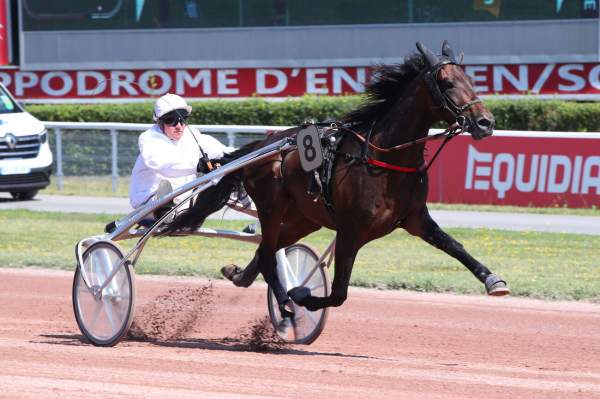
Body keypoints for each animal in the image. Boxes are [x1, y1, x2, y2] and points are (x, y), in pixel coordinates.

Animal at [166, 41, 508, 318]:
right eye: (447, 83)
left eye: (471, 81)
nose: (485, 122)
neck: (384, 158)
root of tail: (263, 145)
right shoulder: (350, 230)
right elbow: (339, 293)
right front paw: (302, 294)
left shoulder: (415, 218)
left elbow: (455, 245)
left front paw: (494, 280)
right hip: (271, 206)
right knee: (268, 254)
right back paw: (286, 305)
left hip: (305, 217)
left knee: (265, 251)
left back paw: (241, 275)